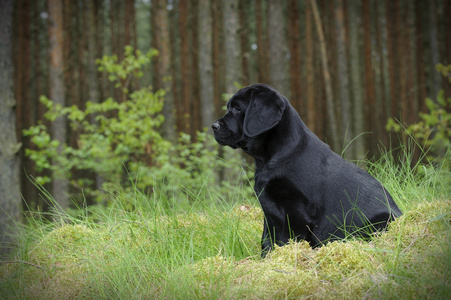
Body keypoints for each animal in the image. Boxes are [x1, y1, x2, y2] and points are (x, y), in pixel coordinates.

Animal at [212, 83, 402, 256]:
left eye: (237, 108)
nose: (214, 126)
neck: (270, 159)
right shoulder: (270, 213)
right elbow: (266, 240)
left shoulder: (297, 211)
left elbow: (291, 239)